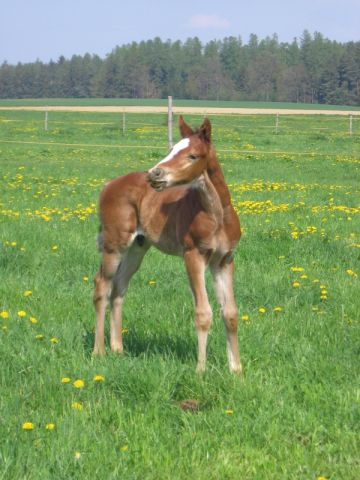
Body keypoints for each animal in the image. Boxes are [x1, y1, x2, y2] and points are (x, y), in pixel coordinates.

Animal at [94, 116, 243, 376]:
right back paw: (98, 351)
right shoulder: (193, 255)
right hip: (115, 245)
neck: (217, 215)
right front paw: (200, 370)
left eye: (192, 156)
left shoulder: (224, 261)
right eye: (171, 149)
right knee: (102, 285)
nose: (155, 173)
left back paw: (118, 349)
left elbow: (230, 313)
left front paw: (236, 371)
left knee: (119, 287)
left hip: (138, 247)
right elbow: (203, 312)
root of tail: (109, 184)